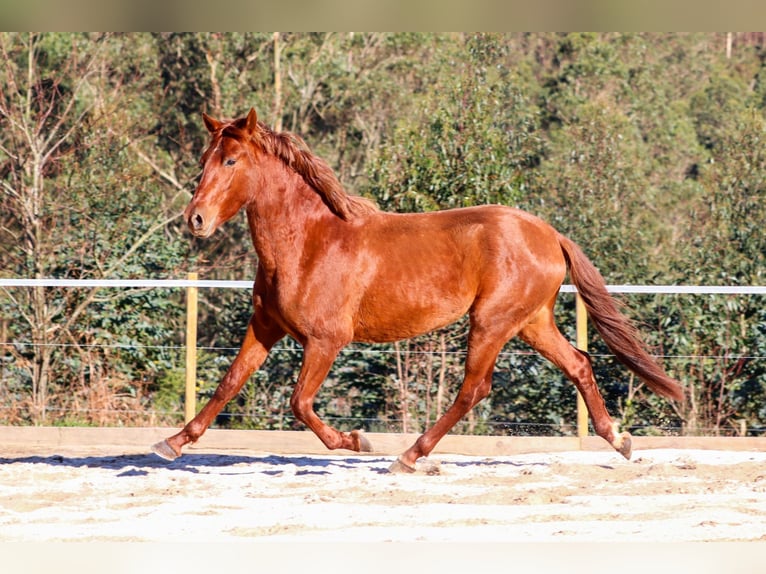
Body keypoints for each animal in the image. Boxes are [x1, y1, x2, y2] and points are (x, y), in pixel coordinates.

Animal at [153, 108, 688, 472]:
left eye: (231, 160)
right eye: (204, 159)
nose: (195, 220)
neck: (308, 243)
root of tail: (549, 234)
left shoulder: (326, 341)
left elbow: (299, 403)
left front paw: (358, 441)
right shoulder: (265, 327)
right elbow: (229, 382)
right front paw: (172, 443)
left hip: (492, 321)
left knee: (474, 388)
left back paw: (409, 456)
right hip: (531, 322)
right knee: (578, 363)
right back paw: (620, 440)